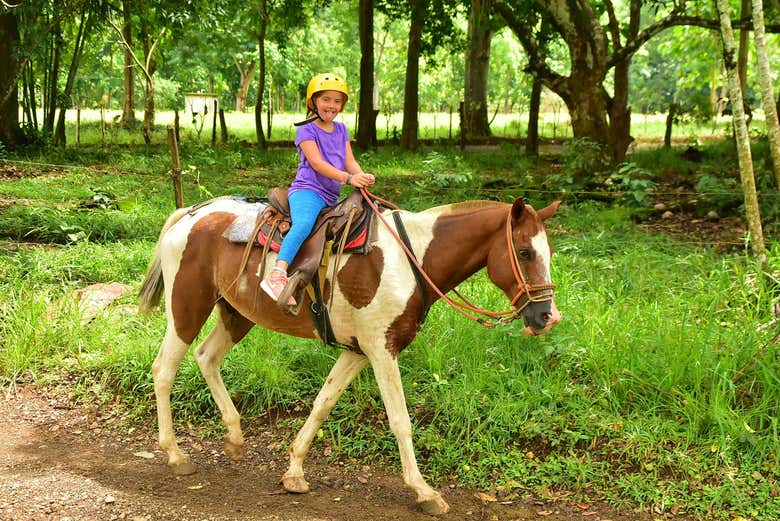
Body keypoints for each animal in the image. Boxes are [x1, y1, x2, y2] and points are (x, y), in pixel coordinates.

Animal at [138, 193, 562, 515]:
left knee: (206, 357)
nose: (547, 316)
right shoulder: (381, 349)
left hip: (236, 313)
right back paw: (175, 454)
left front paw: (294, 471)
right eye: (524, 252)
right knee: (164, 370)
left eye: (548, 252)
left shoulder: (358, 352)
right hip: (187, 307)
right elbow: (400, 420)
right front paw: (424, 491)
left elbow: (322, 404)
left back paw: (235, 438)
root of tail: (189, 215)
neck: (412, 259)